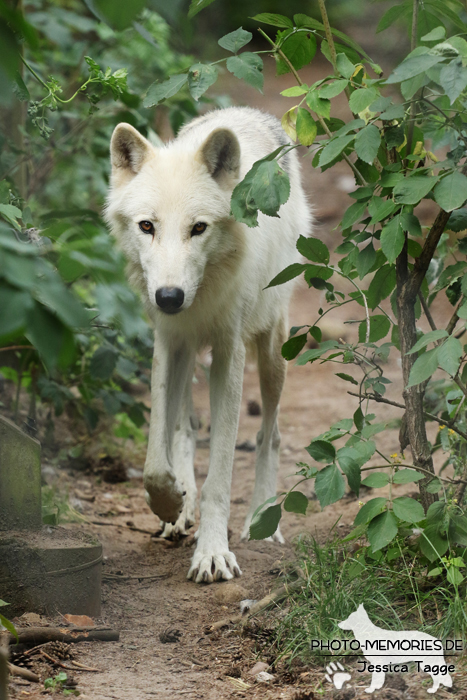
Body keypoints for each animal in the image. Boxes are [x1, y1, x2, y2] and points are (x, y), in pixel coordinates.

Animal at [106, 106, 310, 584]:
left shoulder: (229, 352)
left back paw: (261, 520)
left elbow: (221, 474)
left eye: (198, 228)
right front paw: (171, 504)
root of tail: (250, 113)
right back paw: (182, 508)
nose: (169, 297)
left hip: (271, 351)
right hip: (189, 354)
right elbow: (155, 459)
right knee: (186, 426)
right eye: (147, 226)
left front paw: (213, 553)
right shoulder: (169, 341)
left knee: (269, 434)